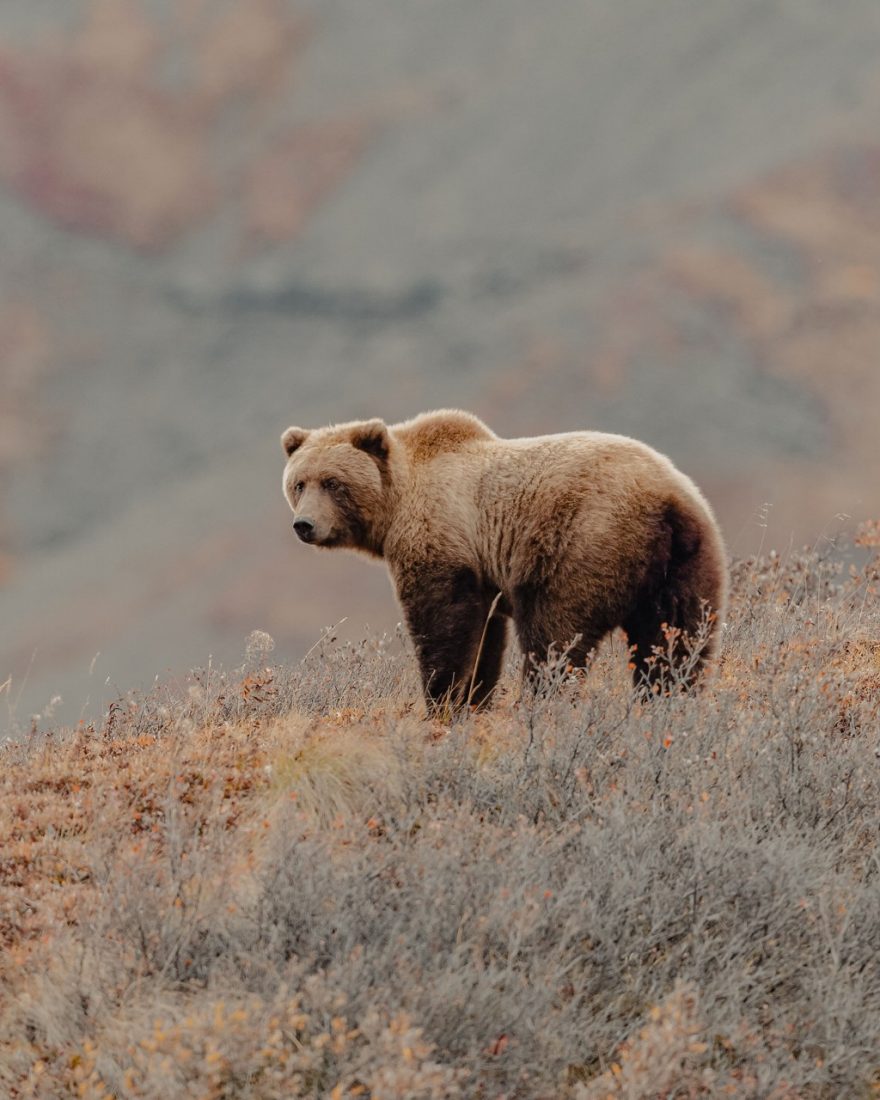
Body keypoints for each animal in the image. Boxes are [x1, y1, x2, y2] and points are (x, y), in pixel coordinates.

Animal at [281, 409, 727, 709]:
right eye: (299, 483)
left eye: (333, 483)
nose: (304, 525)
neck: (397, 503)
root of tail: (666, 500)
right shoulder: (483, 574)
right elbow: (484, 638)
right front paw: (474, 699)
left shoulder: (442, 539)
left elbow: (443, 626)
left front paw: (444, 700)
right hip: (686, 562)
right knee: (677, 639)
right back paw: (668, 699)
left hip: (583, 543)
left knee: (554, 635)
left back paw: (542, 703)